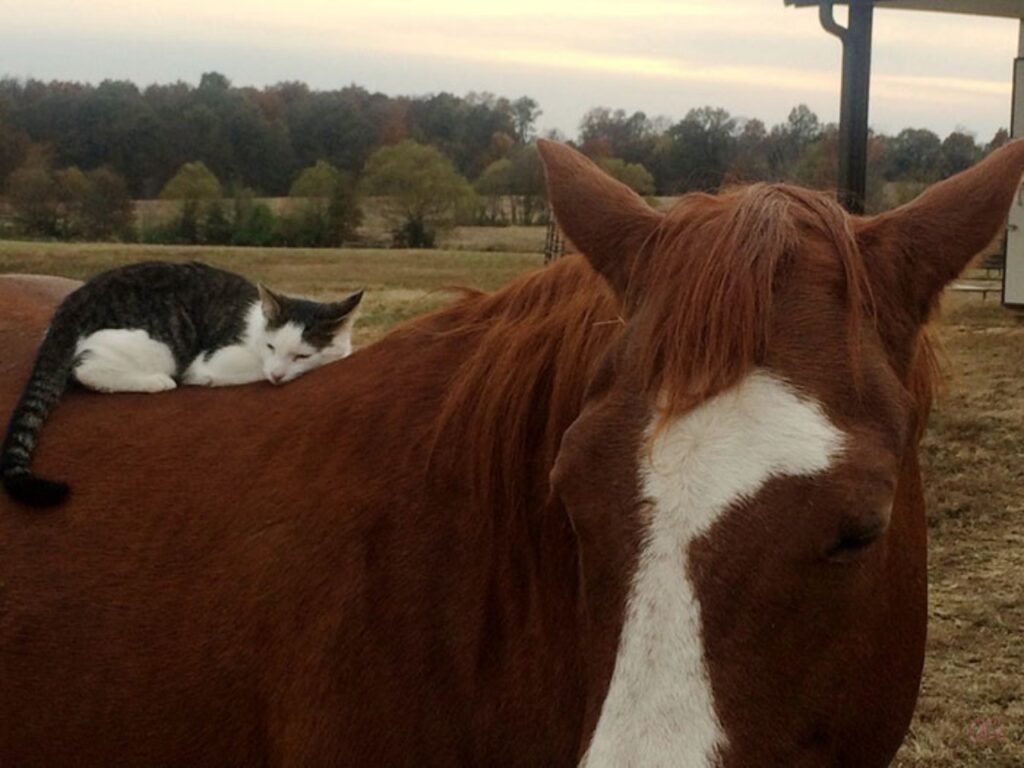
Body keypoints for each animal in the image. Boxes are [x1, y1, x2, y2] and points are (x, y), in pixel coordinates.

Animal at [1, 262, 364, 507]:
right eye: (271, 347)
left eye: (301, 354)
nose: (277, 374)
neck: (256, 328)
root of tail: (72, 306)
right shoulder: (215, 360)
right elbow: (233, 370)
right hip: (159, 346)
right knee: (85, 368)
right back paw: (156, 382)